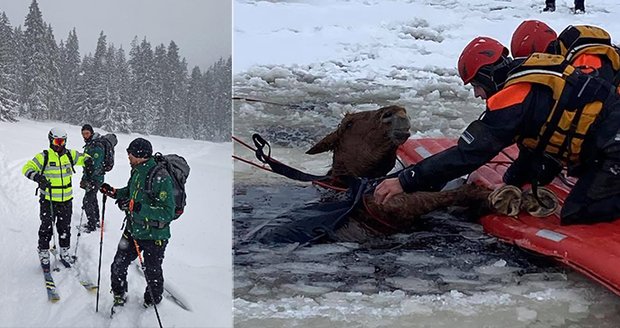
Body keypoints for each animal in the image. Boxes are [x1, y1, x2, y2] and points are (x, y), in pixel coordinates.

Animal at [254, 105, 512, 243]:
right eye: (348, 124)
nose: (395, 112)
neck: (353, 184)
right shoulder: (392, 206)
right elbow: (437, 196)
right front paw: (485, 195)